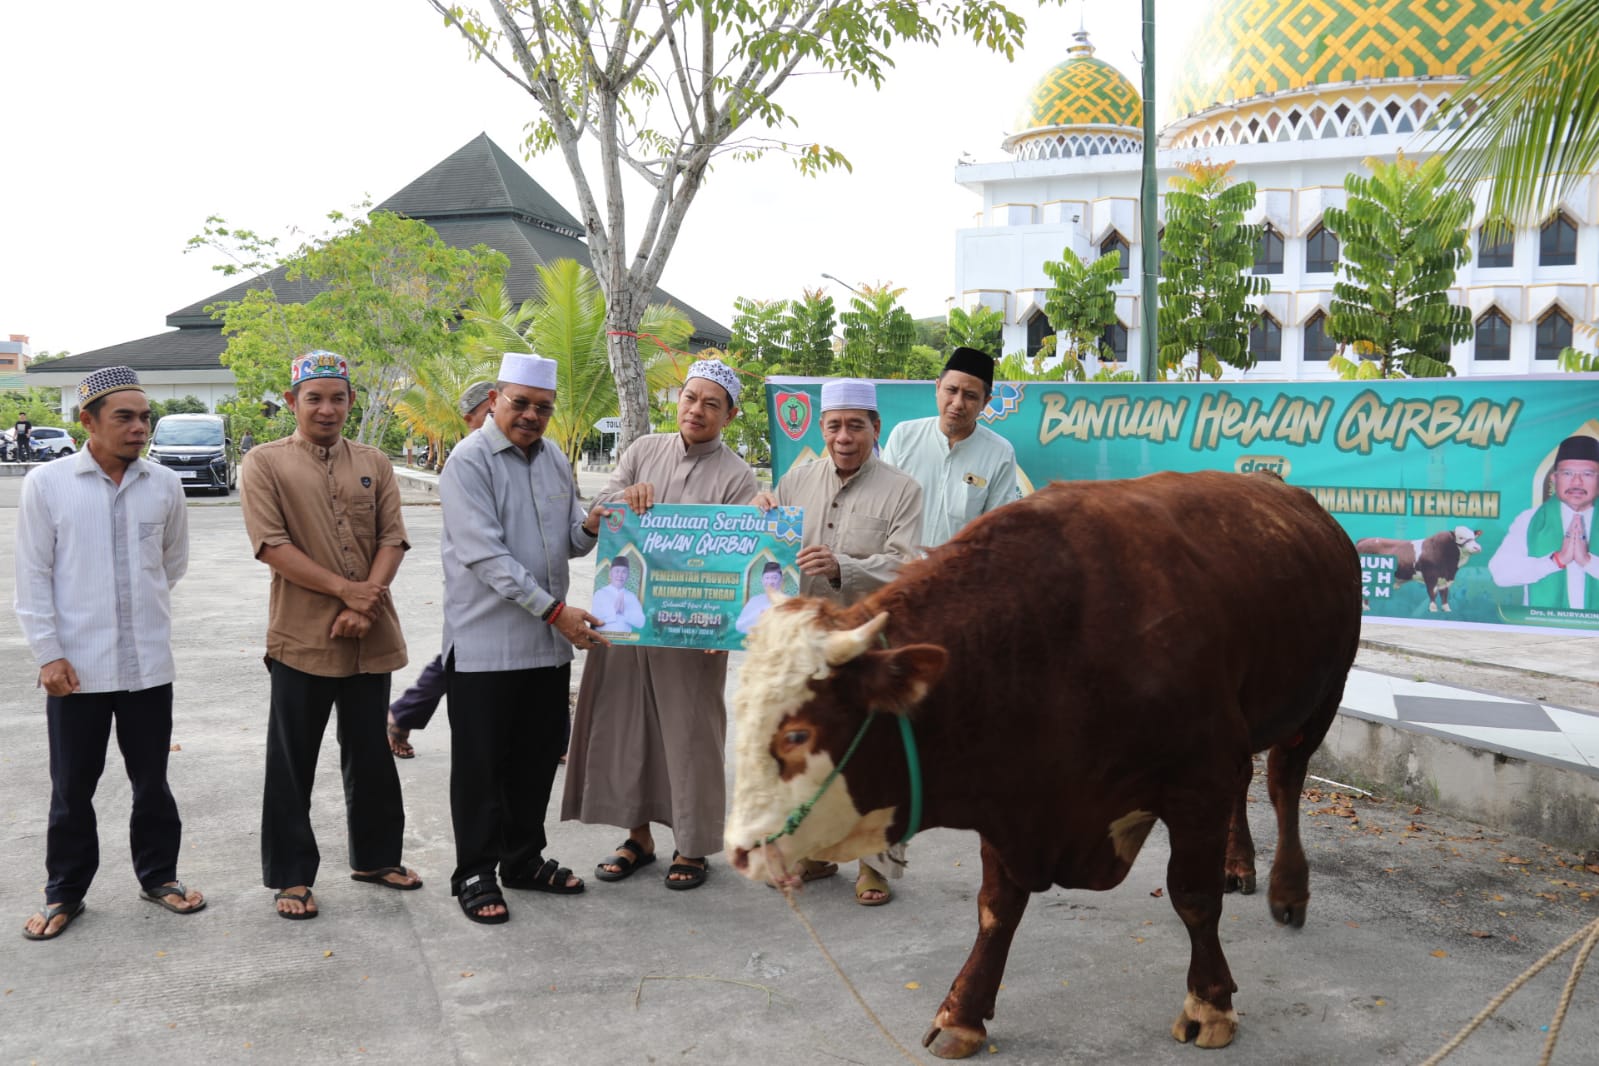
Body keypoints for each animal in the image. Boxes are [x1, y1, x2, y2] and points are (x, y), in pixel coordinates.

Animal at [725, 469, 1362, 1054]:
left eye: (799, 732)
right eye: (742, 710)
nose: (741, 850)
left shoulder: (1196, 779)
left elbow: (1193, 896)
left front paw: (1210, 1004)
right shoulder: (1008, 791)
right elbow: (996, 908)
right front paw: (964, 1012)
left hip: (1323, 696)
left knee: (1283, 781)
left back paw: (1288, 891)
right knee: (1250, 777)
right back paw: (1239, 863)